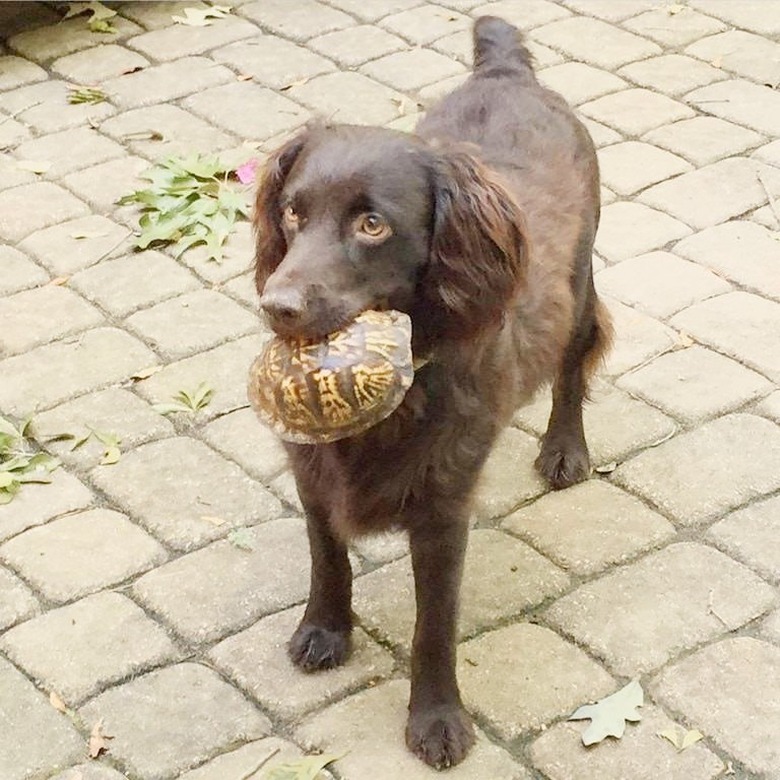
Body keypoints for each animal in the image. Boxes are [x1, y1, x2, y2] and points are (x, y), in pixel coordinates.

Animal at [253, 16, 612, 768]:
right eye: (293, 214)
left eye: (372, 224)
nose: (278, 307)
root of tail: (506, 73)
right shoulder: (311, 471)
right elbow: (327, 556)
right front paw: (325, 631)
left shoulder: (445, 504)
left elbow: (433, 624)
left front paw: (437, 719)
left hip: (580, 279)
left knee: (572, 365)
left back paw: (565, 450)